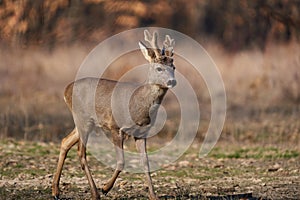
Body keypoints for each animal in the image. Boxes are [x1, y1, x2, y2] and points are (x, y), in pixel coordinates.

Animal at [51, 30, 176, 200]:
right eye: (159, 68)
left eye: (173, 67)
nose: (172, 81)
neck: (138, 107)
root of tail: (66, 90)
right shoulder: (115, 126)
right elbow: (121, 161)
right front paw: (105, 187)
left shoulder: (142, 133)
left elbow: (146, 162)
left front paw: (153, 196)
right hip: (82, 118)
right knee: (81, 153)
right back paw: (95, 193)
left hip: (85, 121)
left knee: (65, 141)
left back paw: (55, 191)